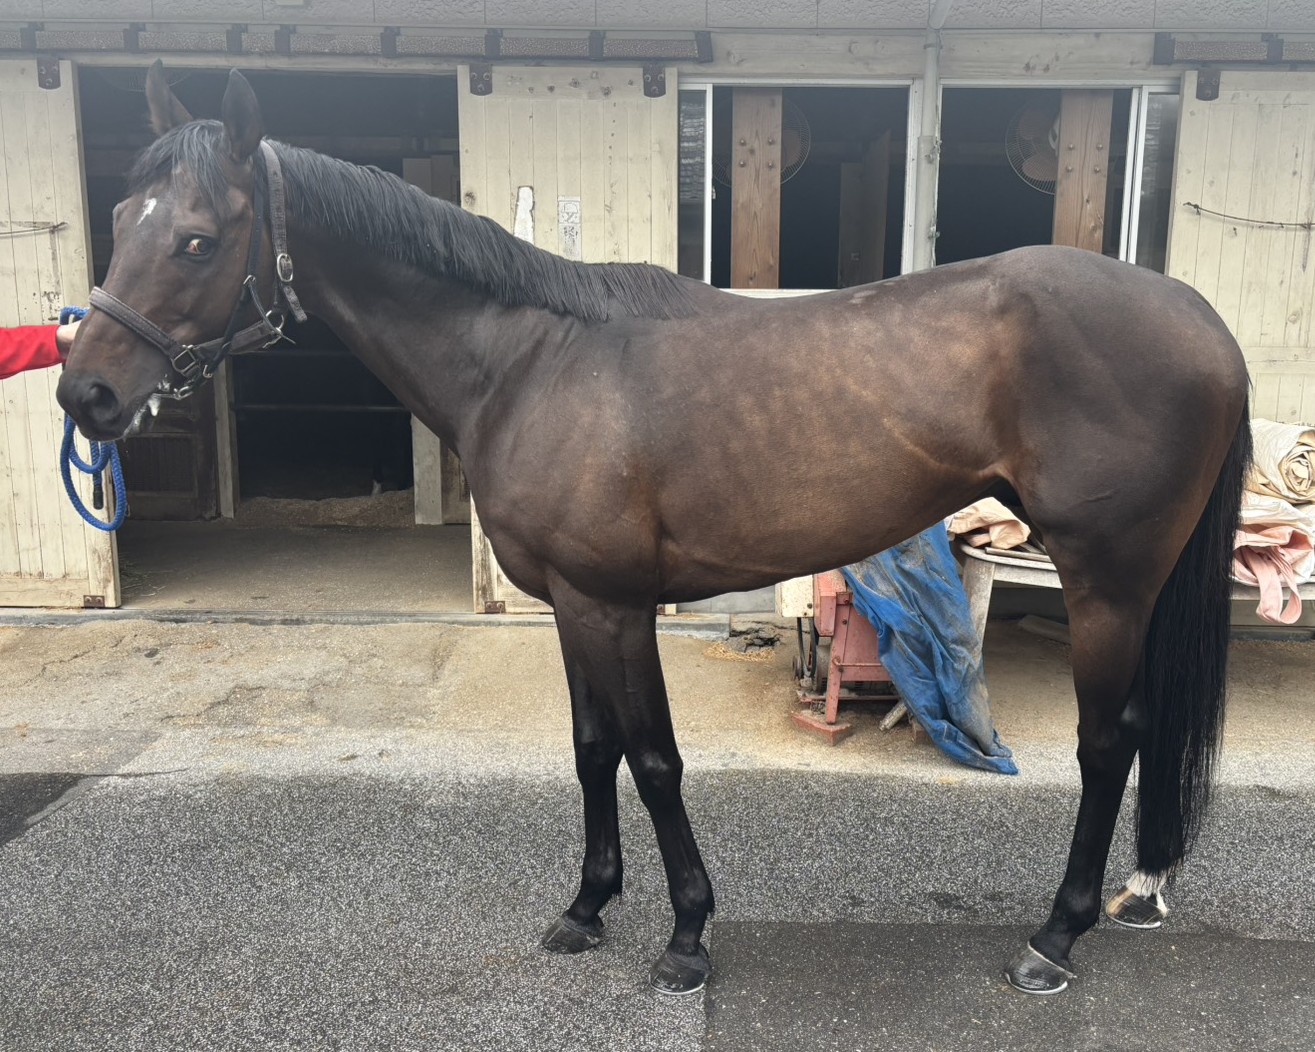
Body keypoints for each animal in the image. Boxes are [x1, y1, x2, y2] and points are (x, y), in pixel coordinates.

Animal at [57, 63, 1251, 998]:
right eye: (117, 223)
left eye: (198, 240)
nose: (86, 396)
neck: (527, 362)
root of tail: (1204, 322)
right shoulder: (571, 607)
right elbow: (593, 751)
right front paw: (586, 907)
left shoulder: (614, 603)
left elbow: (654, 758)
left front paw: (684, 935)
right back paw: (1133, 892)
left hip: (1108, 580)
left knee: (1107, 742)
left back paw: (1055, 934)